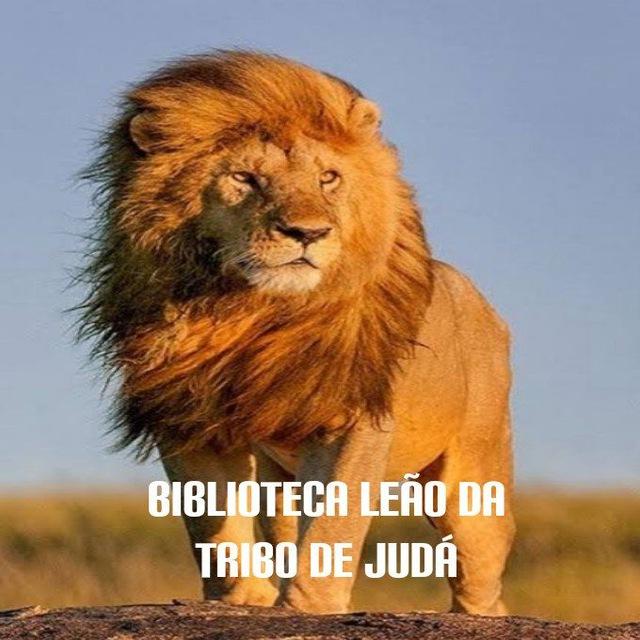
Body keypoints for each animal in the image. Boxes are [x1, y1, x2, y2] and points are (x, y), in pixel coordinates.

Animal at [78, 50, 515, 615]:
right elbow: (213, 526)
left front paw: (310, 609)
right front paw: (243, 600)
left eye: (328, 178)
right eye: (245, 178)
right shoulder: (187, 413)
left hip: (471, 479)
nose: (308, 232)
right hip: (279, 482)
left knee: (479, 573)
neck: (248, 308)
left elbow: (332, 525)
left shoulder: (353, 419)